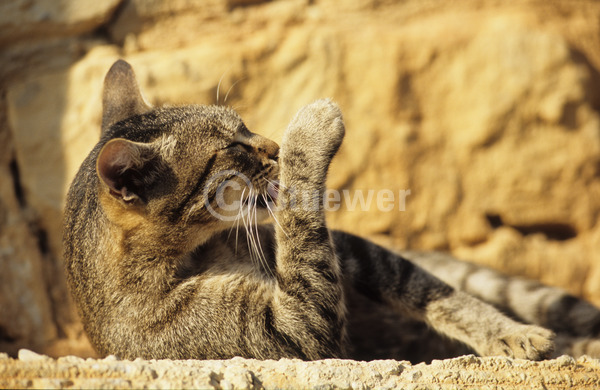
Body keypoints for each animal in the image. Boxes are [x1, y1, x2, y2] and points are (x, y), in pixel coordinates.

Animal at [62, 59, 600, 362]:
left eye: (245, 124)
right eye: (232, 147)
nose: (273, 146)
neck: (198, 253)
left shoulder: (351, 251)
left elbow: (433, 293)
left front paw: (509, 334)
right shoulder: (292, 334)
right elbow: (302, 226)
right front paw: (309, 130)